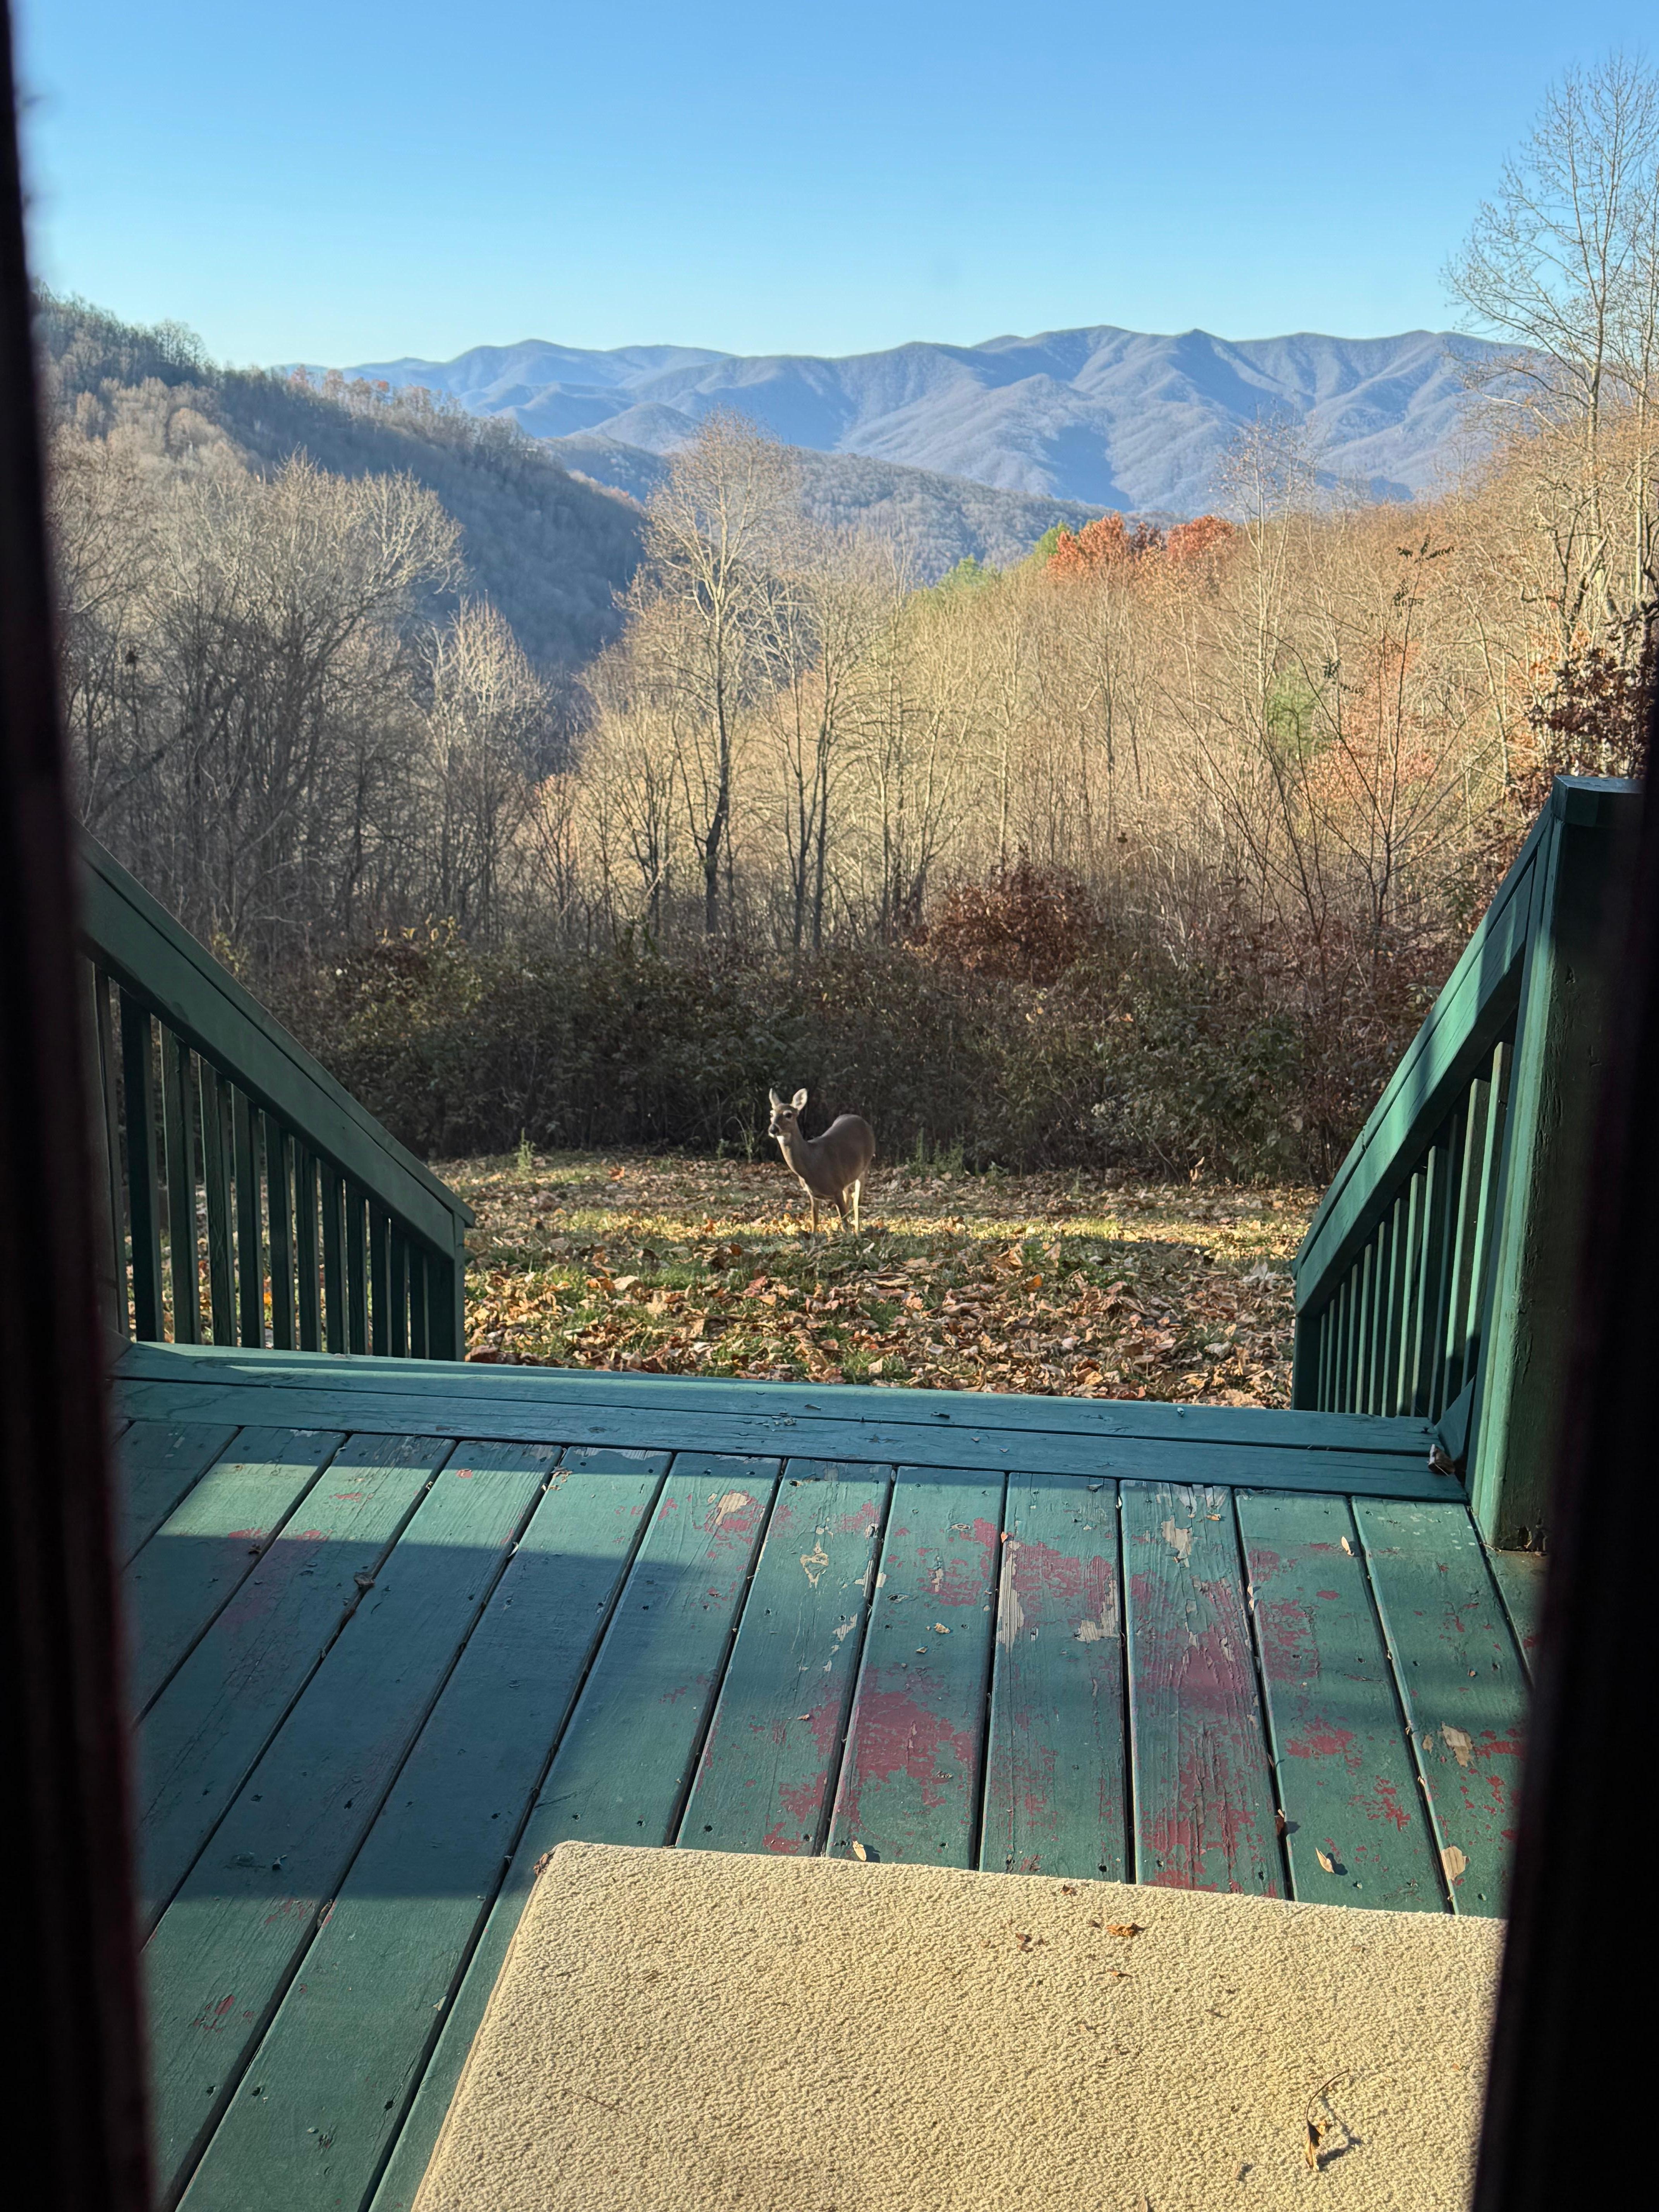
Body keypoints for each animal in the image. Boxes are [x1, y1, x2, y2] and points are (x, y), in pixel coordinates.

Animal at [767, 1088, 876, 1234]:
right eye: (771, 1113)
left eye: (788, 1114)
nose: (773, 1129)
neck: (812, 1163)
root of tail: (862, 1121)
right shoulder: (813, 1194)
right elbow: (815, 1219)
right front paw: (815, 1236)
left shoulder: (836, 1187)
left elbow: (845, 1222)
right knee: (849, 1197)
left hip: (865, 1168)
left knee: (857, 1202)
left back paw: (858, 1231)